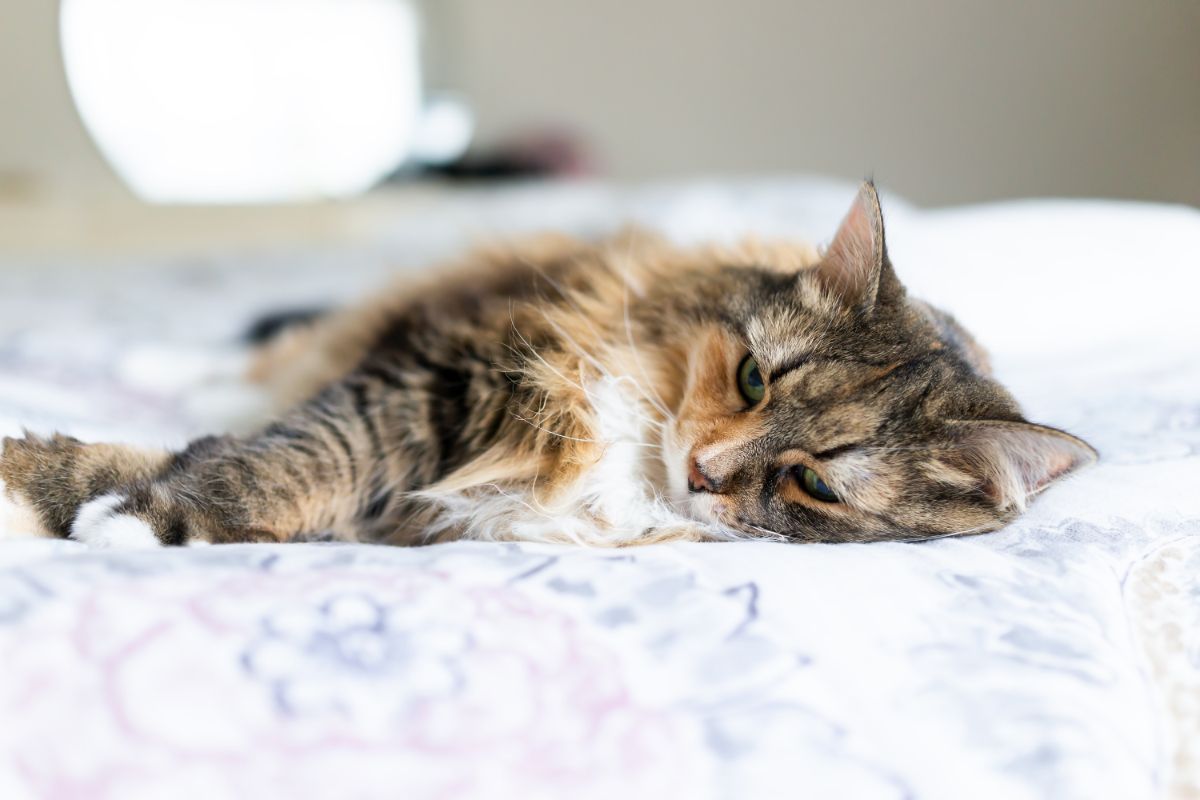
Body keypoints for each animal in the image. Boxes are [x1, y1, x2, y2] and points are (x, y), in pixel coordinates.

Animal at [0, 181, 1099, 546]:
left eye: (816, 484)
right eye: (754, 378)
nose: (702, 470)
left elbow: (261, 466)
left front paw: (115, 510)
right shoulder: (440, 373)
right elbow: (281, 452)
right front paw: (79, 491)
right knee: (270, 355)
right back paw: (162, 360)